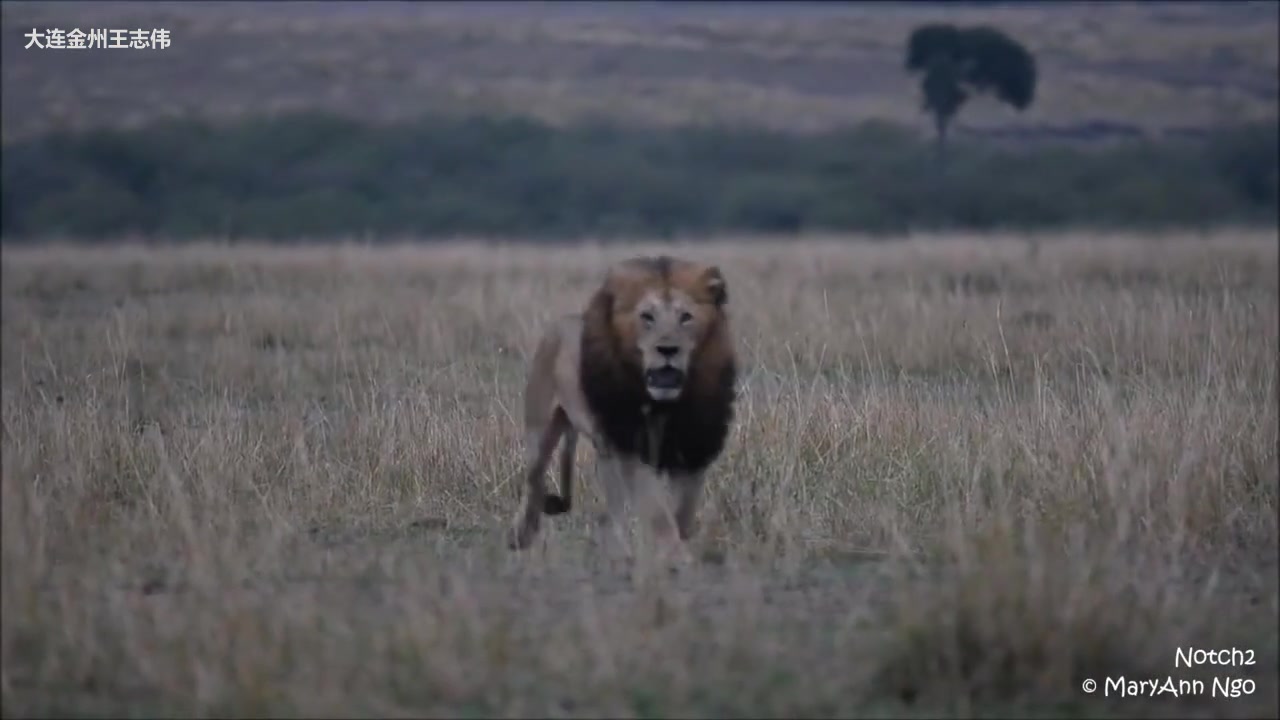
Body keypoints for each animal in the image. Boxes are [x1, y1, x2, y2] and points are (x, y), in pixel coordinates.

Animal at [504, 254, 737, 550]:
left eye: (686, 317)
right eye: (647, 317)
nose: (668, 349)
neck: (666, 406)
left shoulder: (691, 451)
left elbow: (683, 510)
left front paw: (680, 542)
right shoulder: (630, 447)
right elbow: (656, 509)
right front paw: (670, 550)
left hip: (603, 449)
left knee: (612, 504)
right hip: (542, 429)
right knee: (533, 482)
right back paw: (521, 535)